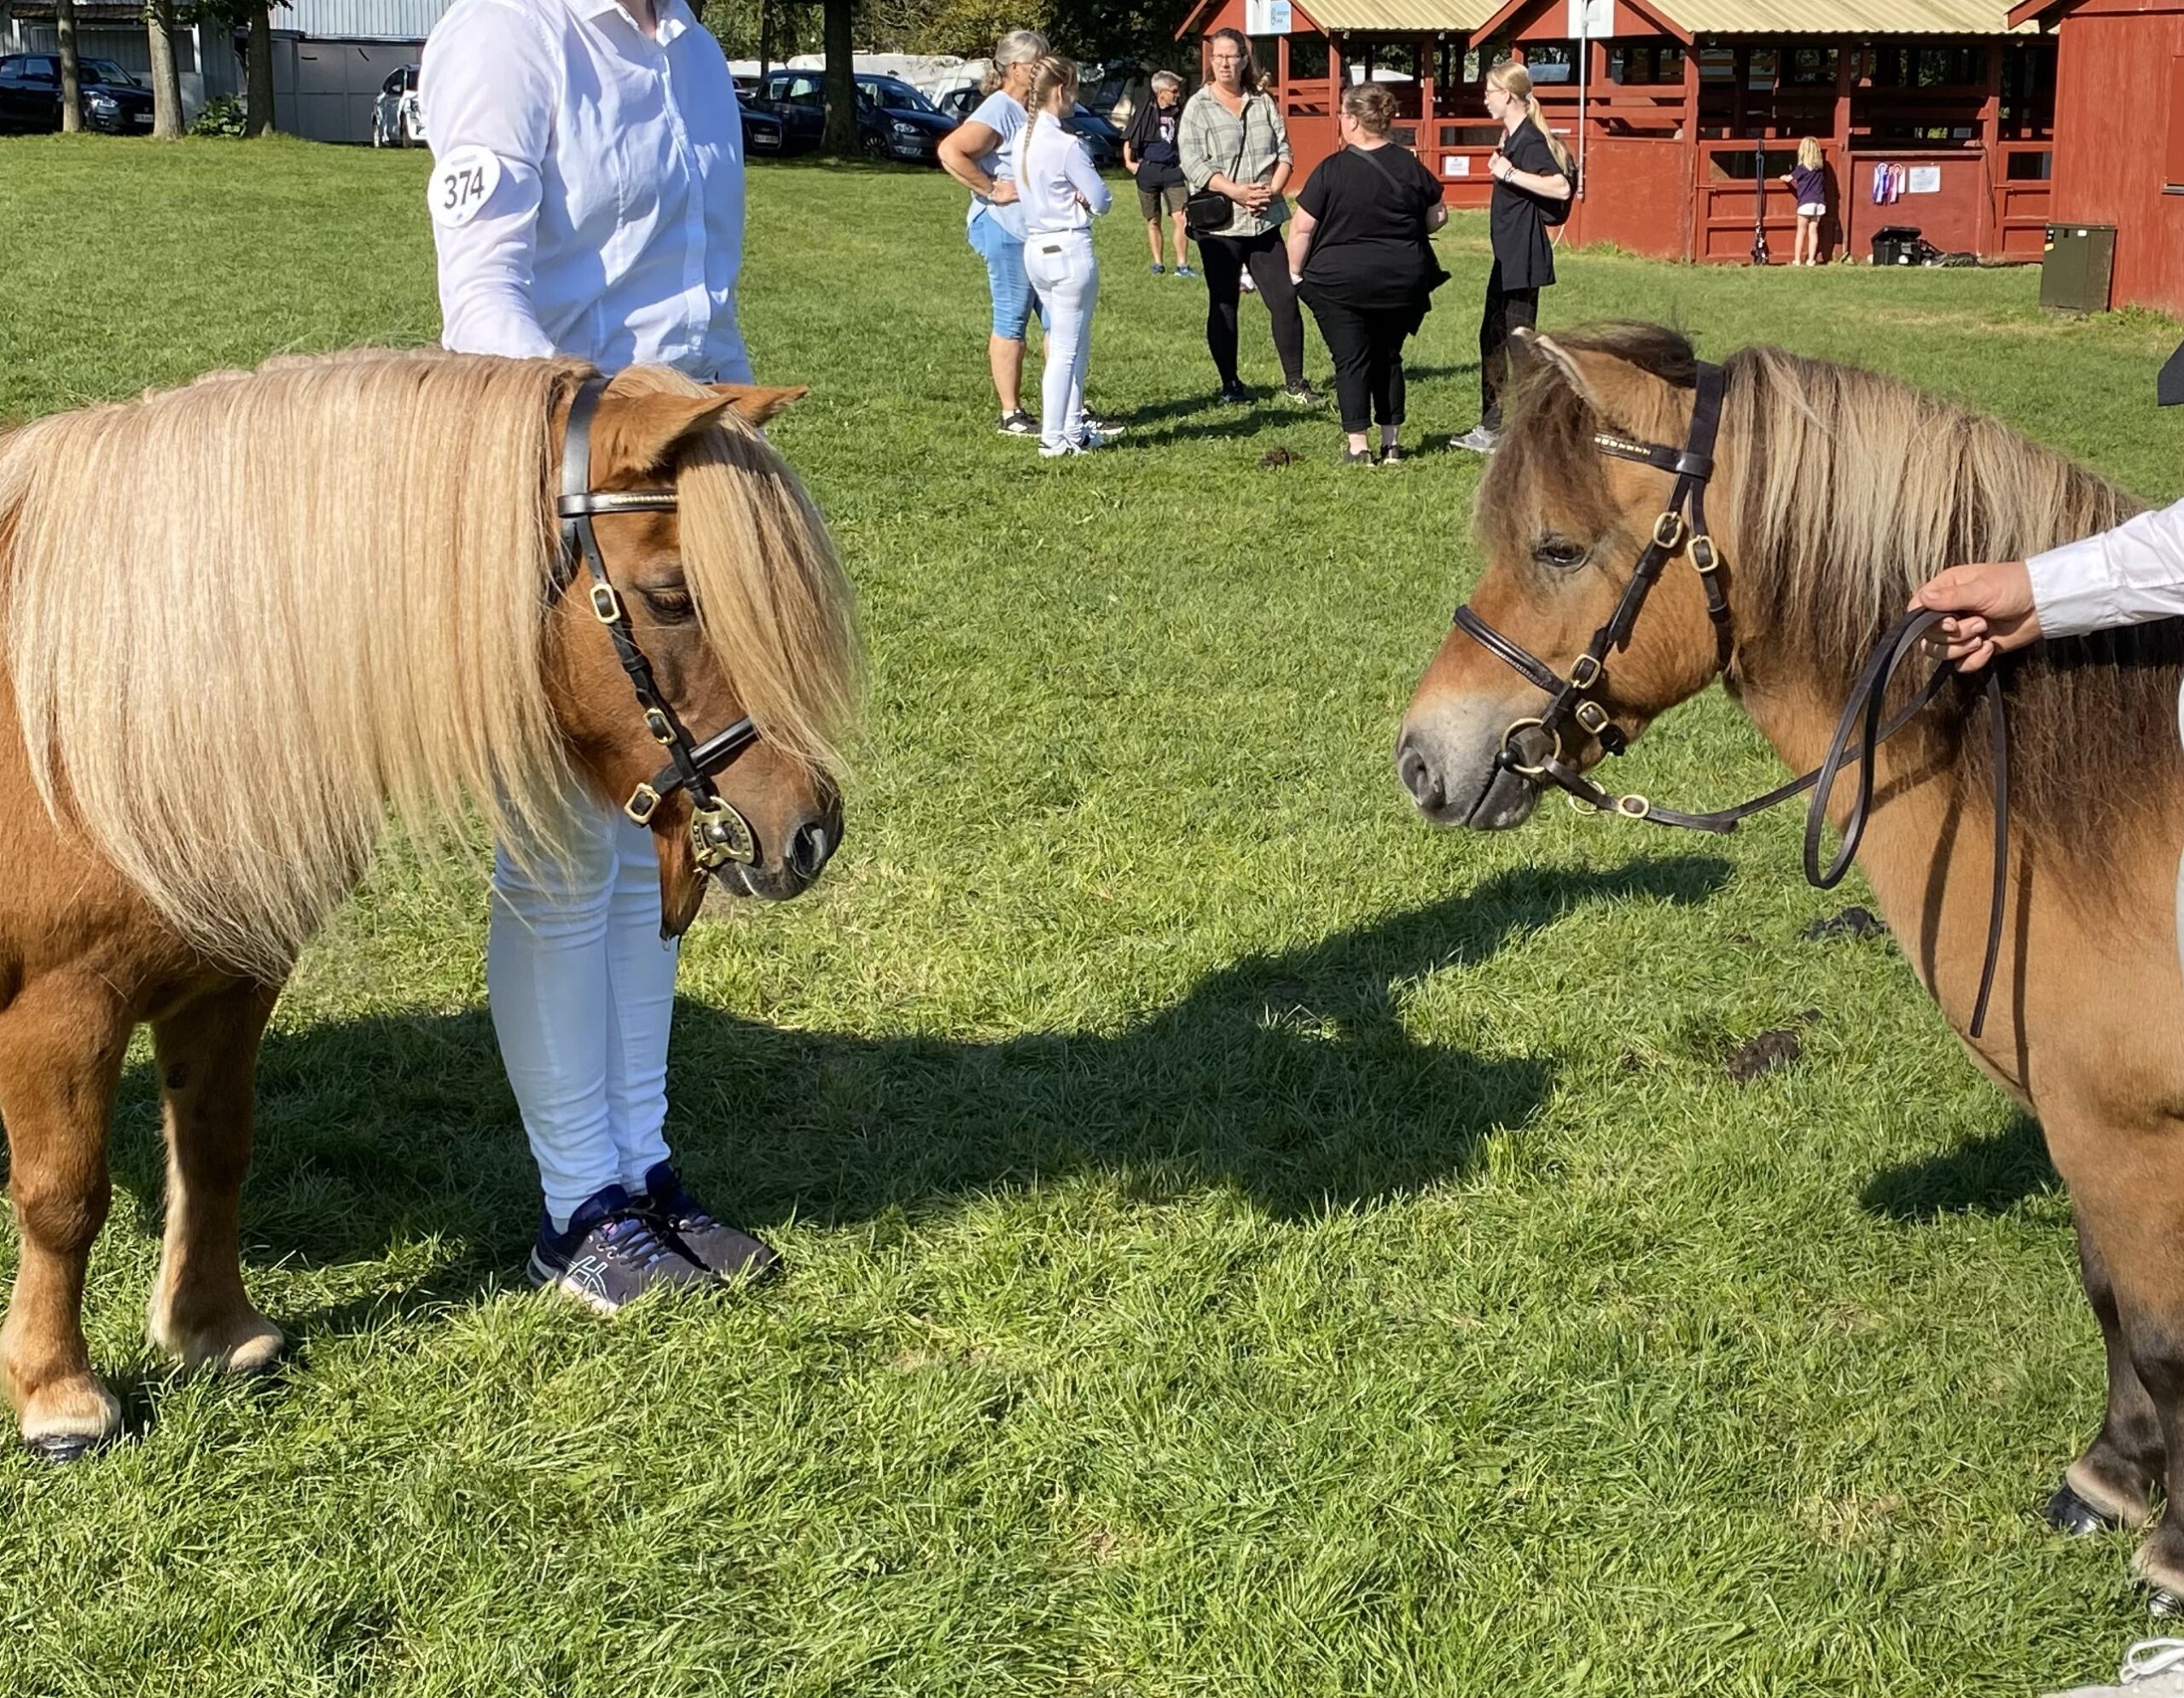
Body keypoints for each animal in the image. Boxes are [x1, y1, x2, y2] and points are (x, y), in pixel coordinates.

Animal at [0, 353, 860, 1459]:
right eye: (671, 597)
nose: (811, 830)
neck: (97, 702)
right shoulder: (63, 1009)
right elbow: (65, 1195)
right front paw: (59, 1394)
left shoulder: (230, 981)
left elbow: (219, 1147)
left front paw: (216, 1332)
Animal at [1397, 328, 2184, 1599]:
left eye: (1557, 546)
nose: (1422, 759)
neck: (2109, 812)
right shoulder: (2081, 1120)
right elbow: (2109, 1290)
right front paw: (2113, 1474)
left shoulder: (2130, 1134)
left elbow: (2164, 1331)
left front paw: (2172, 1547)